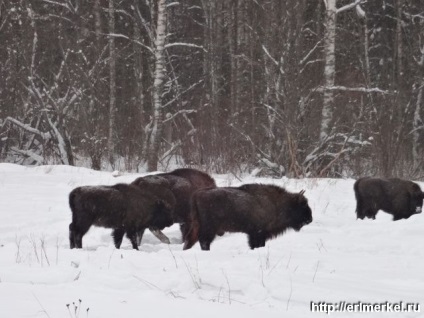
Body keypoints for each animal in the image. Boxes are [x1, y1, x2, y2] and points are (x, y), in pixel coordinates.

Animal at [184, 184, 314, 251]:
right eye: (303, 205)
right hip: (209, 228)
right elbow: (256, 244)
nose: (310, 219)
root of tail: (197, 195)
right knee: (203, 241)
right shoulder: (257, 233)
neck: (278, 204)